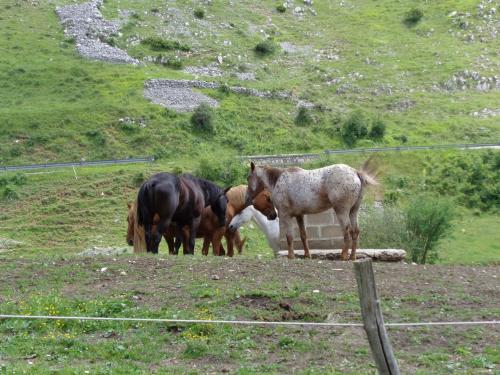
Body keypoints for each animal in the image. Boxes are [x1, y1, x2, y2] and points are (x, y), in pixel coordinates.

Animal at [244, 161, 376, 262]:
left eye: (248, 177)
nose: (247, 198)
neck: (278, 180)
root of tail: (355, 172)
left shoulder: (285, 215)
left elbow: (289, 237)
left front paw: (291, 256)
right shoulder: (299, 215)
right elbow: (303, 235)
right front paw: (307, 255)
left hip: (342, 211)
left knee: (346, 231)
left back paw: (343, 256)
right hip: (353, 211)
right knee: (355, 231)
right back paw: (353, 257)